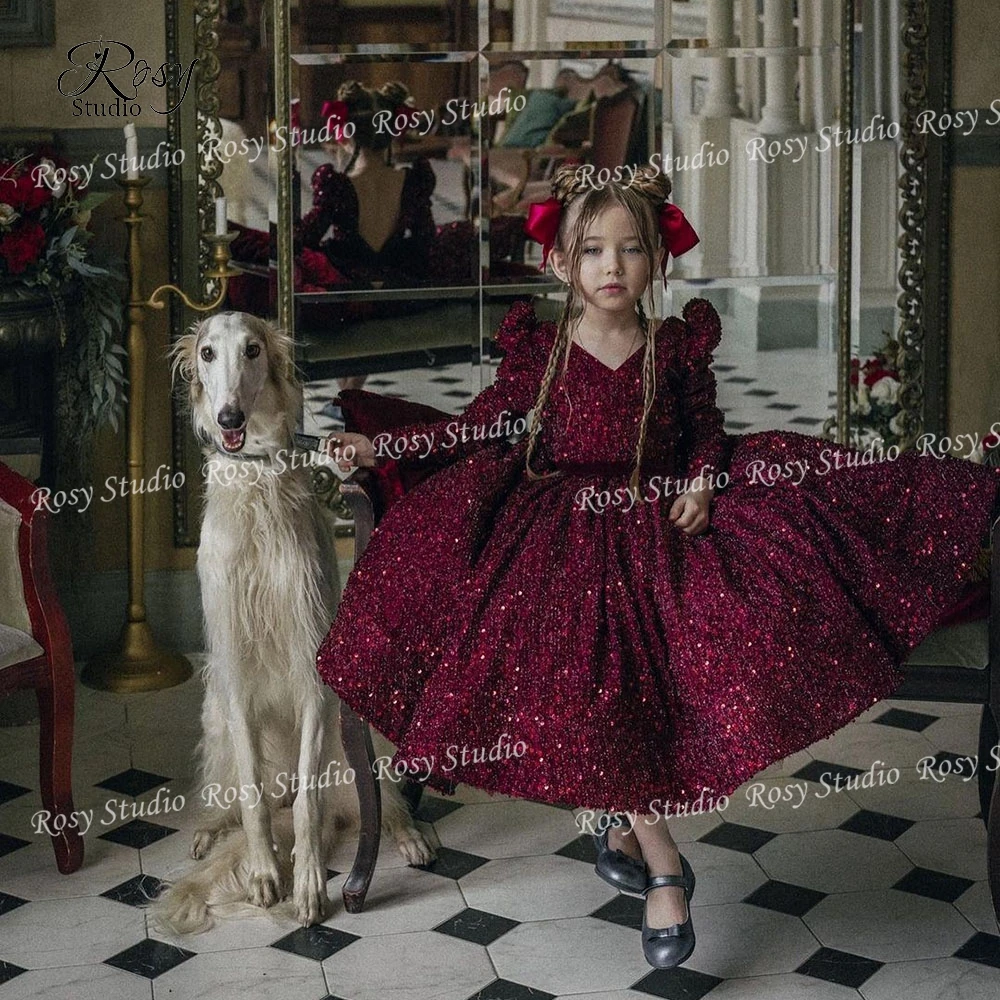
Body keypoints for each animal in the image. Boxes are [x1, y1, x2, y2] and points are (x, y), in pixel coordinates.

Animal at [154, 308, 436, 932]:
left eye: (254, 349)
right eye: (207, 353)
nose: (229, 418)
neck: (257, 483)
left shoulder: (314, 673)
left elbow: (308, 801)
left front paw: (307, 884)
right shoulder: (234, 675)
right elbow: (254, 798)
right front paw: (266, 873)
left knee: (363, 800)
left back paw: (406, 835)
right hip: (214, 712)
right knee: (238, 795)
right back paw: (209, 832)